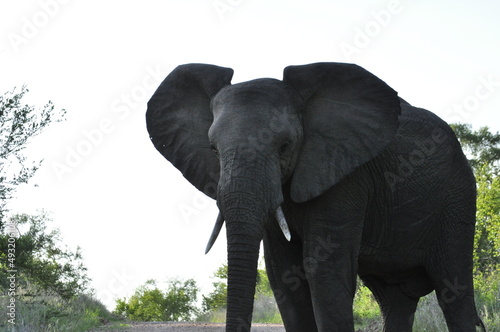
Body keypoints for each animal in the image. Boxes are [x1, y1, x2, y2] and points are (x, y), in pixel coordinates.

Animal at [146, 63, 484, 332]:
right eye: (213, 150)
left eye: (285, 146)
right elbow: (285, 277)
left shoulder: (344, 175)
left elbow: (325, 272)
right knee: (394, 301)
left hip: (457, 199)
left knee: (453, 290)